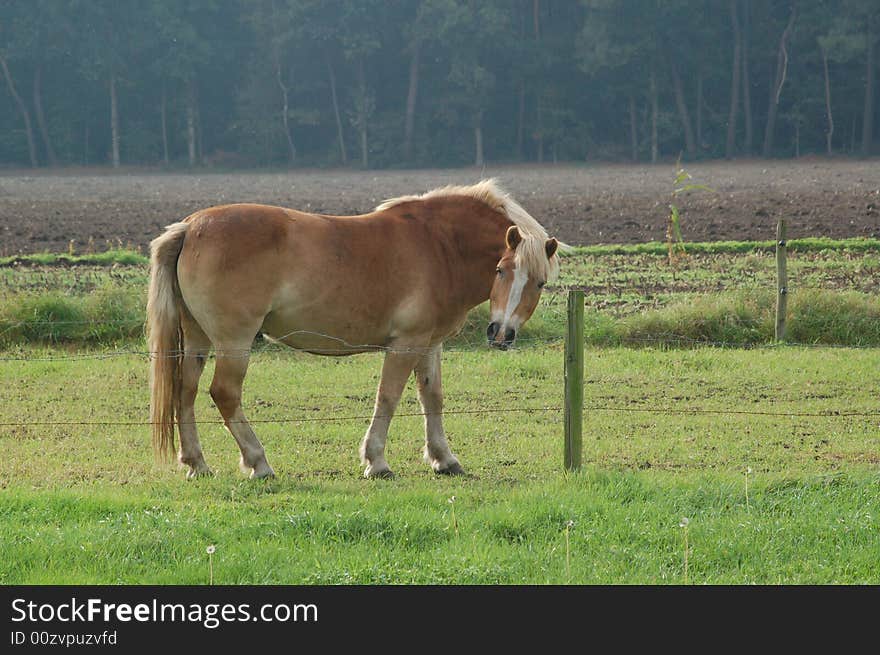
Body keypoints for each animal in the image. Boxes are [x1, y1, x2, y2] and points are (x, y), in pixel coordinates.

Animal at [144, 179, 556, 482]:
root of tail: (190, 227)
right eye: (501, 270)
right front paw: (376, 462)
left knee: (186, 391)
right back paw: (258, 462)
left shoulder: (429, 344)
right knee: (224, 394)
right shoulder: (405, 344)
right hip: (234, 342)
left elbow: (432, 397)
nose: (500, 334)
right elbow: (388, 398)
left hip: (197, 339)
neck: (439, 245)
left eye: (539, 283)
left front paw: (444, 459)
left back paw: (197, 463)